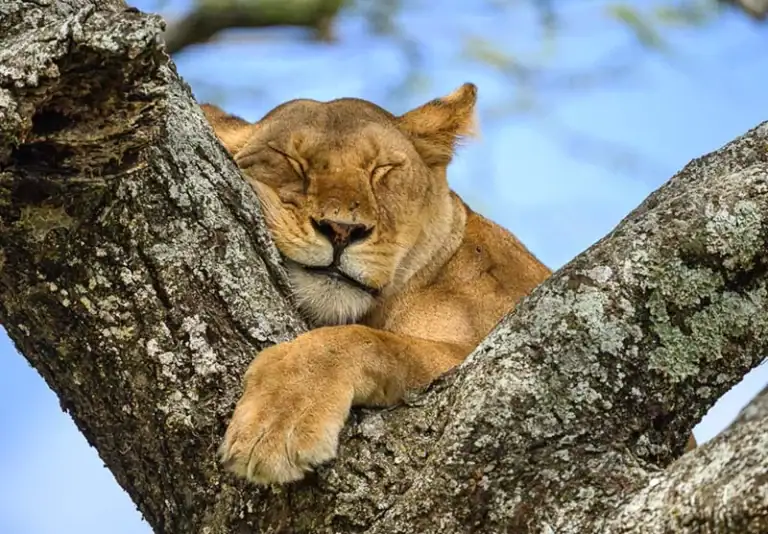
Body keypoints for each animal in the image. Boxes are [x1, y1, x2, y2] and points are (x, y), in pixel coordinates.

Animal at [201, 83, 696, 485]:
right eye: (291, 161)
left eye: (383, 170)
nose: (341, 230)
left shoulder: (498, 358)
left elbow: (362, 341)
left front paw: (276, 424)